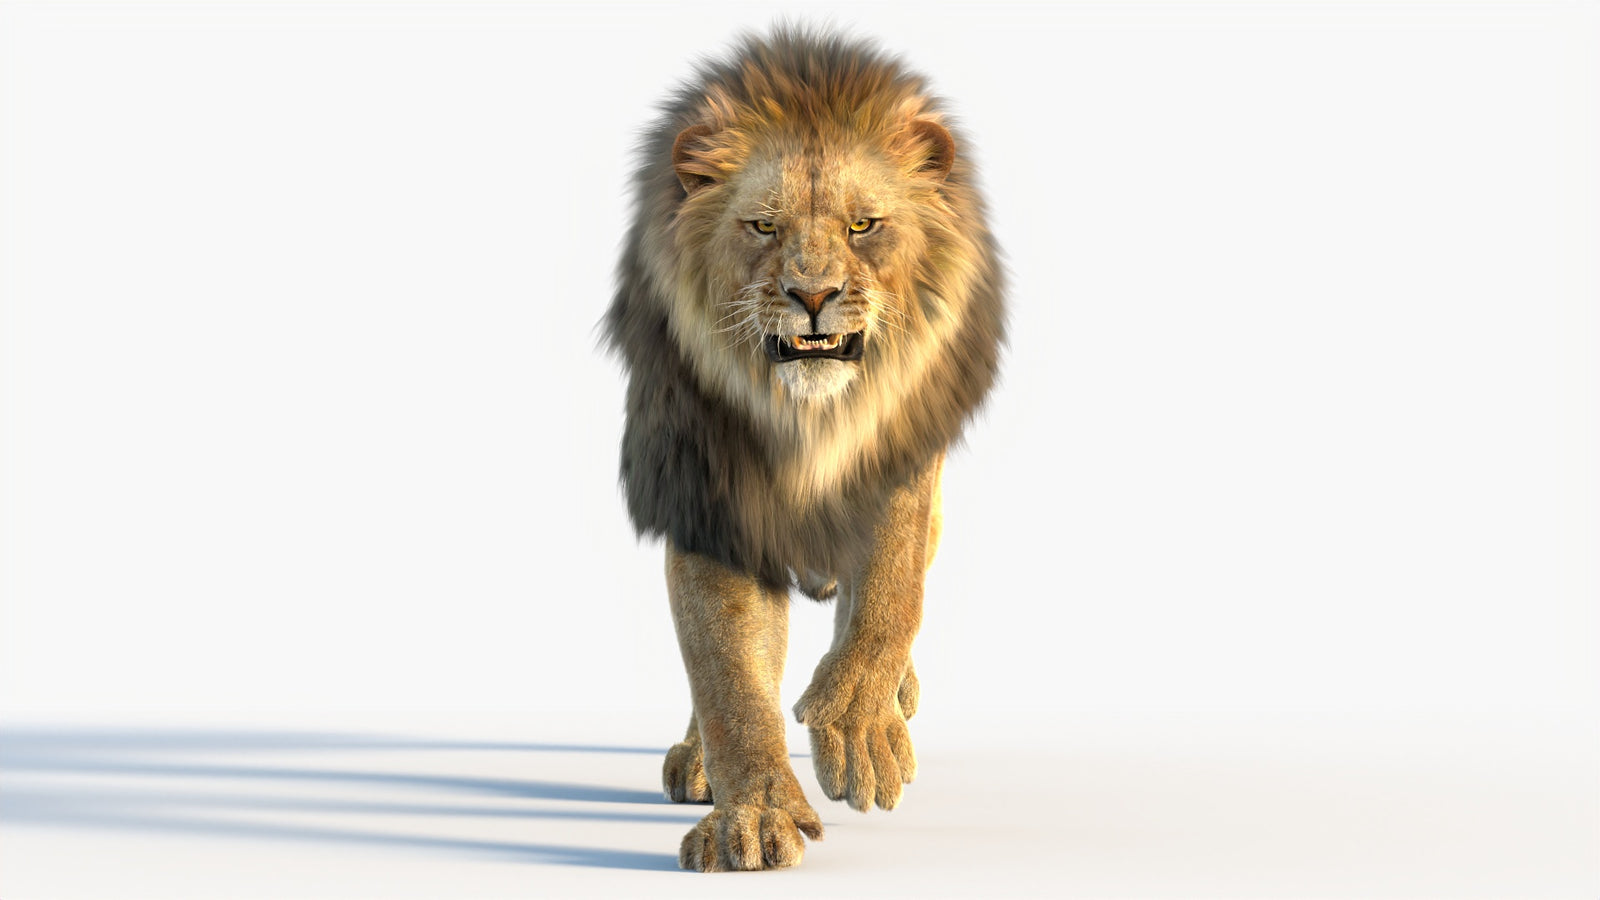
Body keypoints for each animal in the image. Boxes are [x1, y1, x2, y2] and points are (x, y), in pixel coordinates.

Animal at [604, 28, 1005, 871]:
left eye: (862, 226)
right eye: (764, 227)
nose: (812, 295)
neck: (806, 421)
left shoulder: (900, 459)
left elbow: (890, 587)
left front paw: (858, 726)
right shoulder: (706, 493)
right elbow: (727, 668)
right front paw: (753, 815)